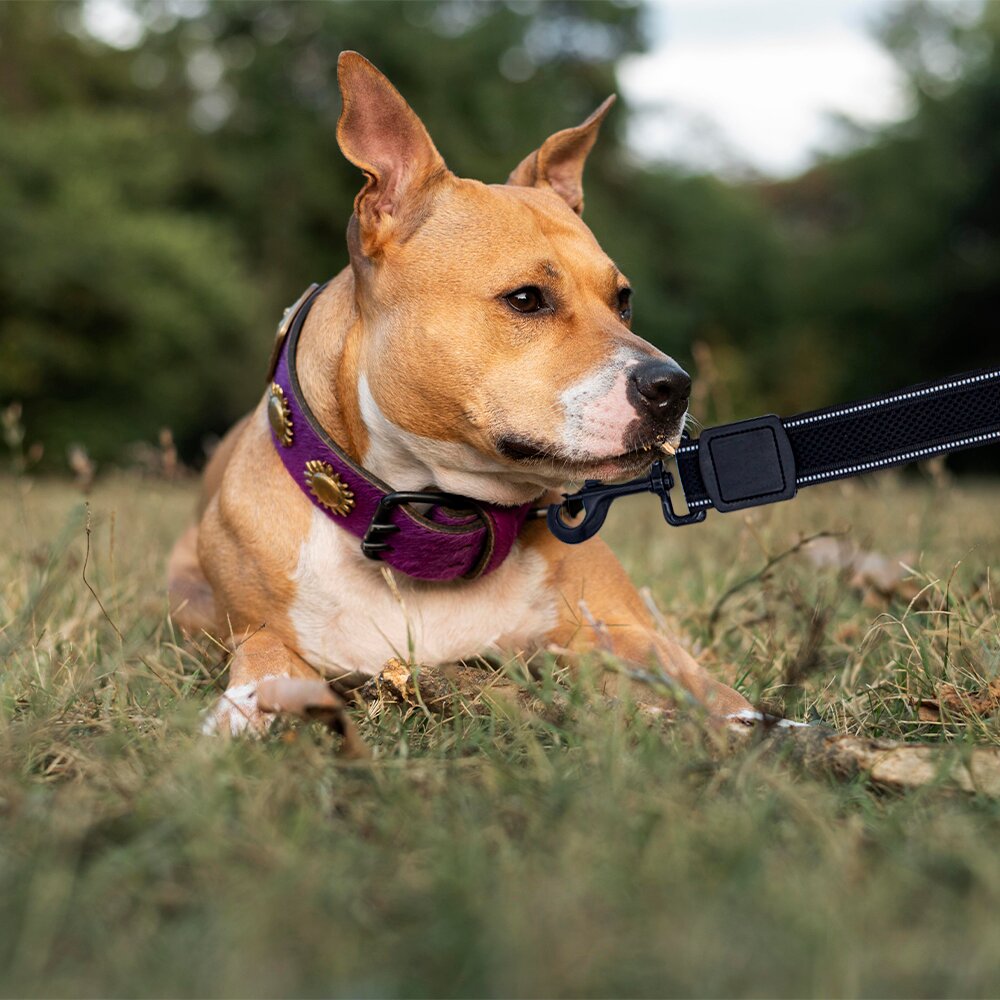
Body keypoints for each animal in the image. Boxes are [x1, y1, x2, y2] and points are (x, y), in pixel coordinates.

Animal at [170, 48, 752, 736]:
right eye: (526, 299)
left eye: (623, 300)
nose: (672, 387)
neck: (435, 520)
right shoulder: (259, 630)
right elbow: (264, 658)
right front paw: (236, 718)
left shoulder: (627, 633)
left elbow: (709, 688)